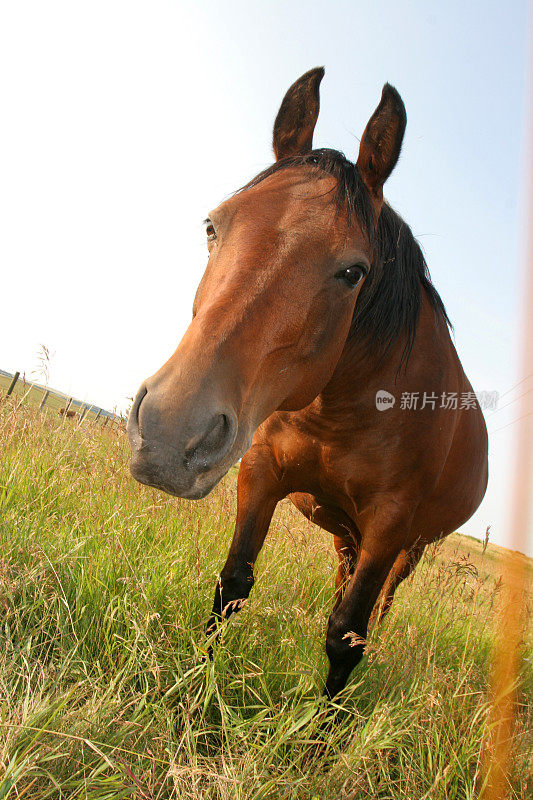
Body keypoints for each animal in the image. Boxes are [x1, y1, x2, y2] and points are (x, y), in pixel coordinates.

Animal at [128, 70, 486, 700]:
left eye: (353, 272)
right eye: (213, 226)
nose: (172, 433)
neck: (336, 411)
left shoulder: (390, 523)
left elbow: (347, 638)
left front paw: (326, 726)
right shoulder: (259, 472)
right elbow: (231, 587)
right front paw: (191, 694)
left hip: (408, 548)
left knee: (377, 608)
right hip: (347, 533)